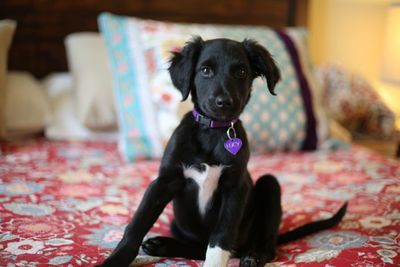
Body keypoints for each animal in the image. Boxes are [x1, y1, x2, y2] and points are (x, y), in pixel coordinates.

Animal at [97, 37, 346, 267]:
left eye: (241, 72)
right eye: (205, 70)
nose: (224, 102)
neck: (212, 132)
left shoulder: (235, 187)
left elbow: (221, 236)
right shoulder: (163, 181)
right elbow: (136, 226)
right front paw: (114, 260)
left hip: (269, 186)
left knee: (264, 244)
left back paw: (254, 255)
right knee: (197, 248)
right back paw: (162, 244)